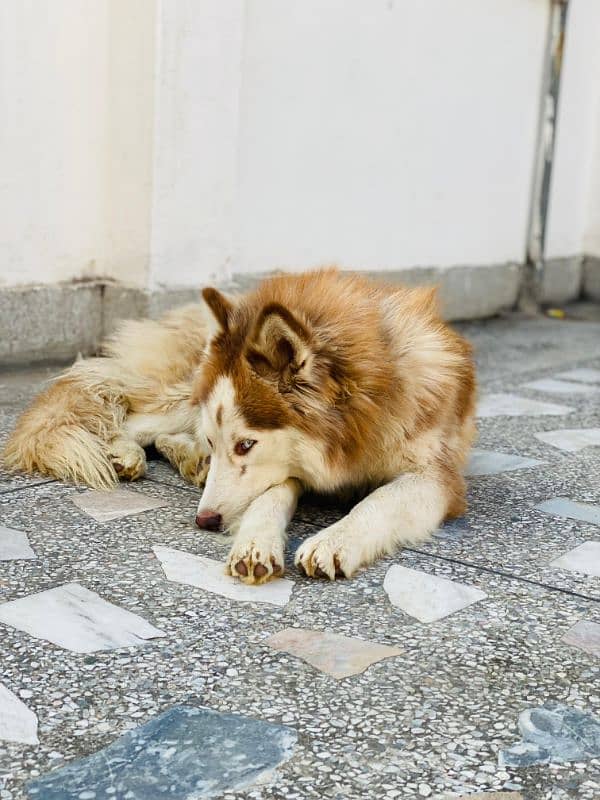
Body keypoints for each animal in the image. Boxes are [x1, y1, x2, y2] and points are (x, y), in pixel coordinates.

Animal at [2, 268, 476, 580]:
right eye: (222, 443)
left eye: (246, 445)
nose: (204, 521)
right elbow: (271, 494)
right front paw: (255, 542)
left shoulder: (437, 479)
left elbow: (379, 501)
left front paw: (334, 540)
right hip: (184, 392)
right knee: (135, 416)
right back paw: (125, 452)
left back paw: (187, 461)